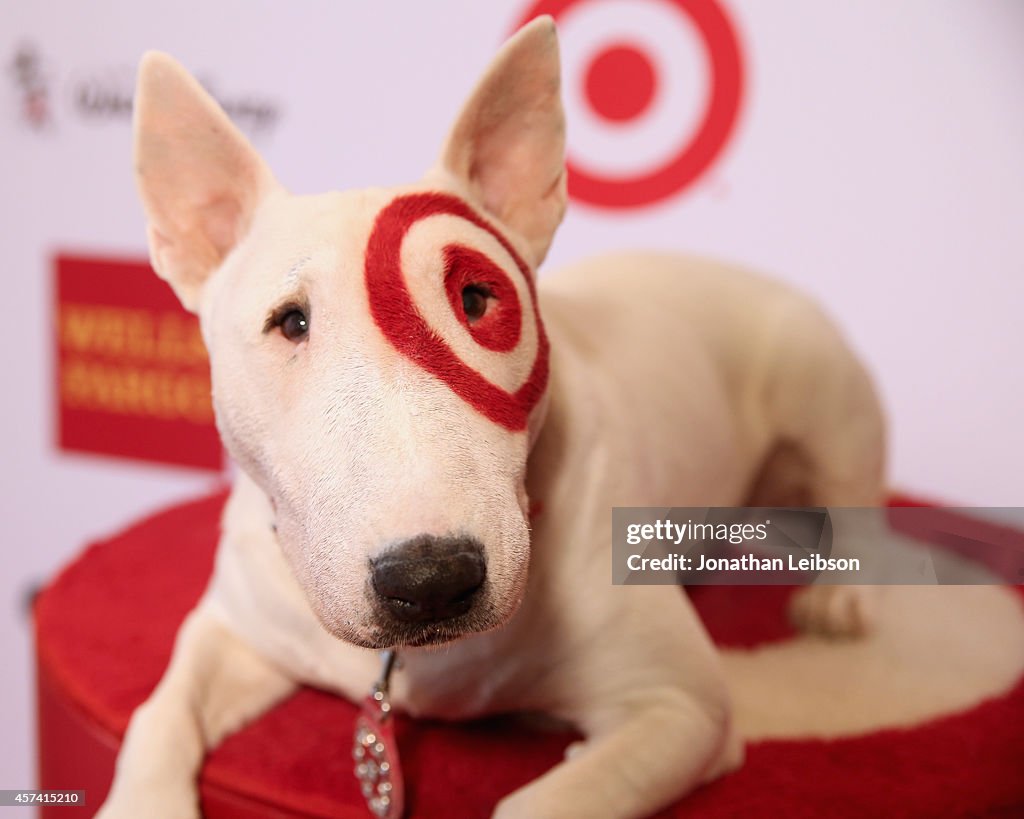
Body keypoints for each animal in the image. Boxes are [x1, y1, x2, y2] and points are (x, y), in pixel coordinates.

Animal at [97, 17, 888, 818]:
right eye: (290, 322)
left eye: (477, 300)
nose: (430, 580)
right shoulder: (236, 627)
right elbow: (158, 711)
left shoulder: (681, 704)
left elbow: (544, 802)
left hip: (824, 390)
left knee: (856, 499)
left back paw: (842, 596)